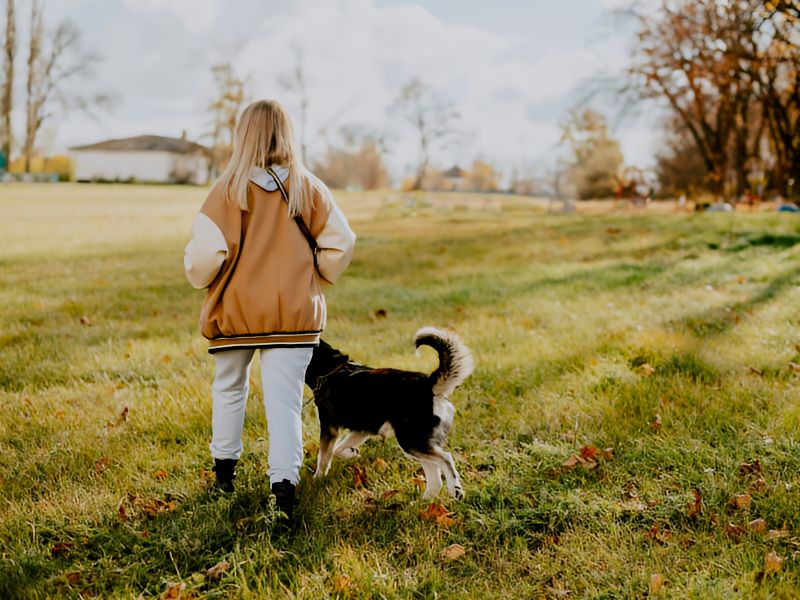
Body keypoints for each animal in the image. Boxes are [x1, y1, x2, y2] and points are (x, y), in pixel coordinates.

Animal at [304, 326, 472, 500]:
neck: (330, 368)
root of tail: (428, 384)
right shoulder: (363, 429)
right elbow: (339, 448)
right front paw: (351, 453)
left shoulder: (329, 428)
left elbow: (324, 457)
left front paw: (317, 479)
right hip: (417, 443)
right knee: (435, 475)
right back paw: (424, 501)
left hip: (410, 441)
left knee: (446, 458)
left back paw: (455, 489)